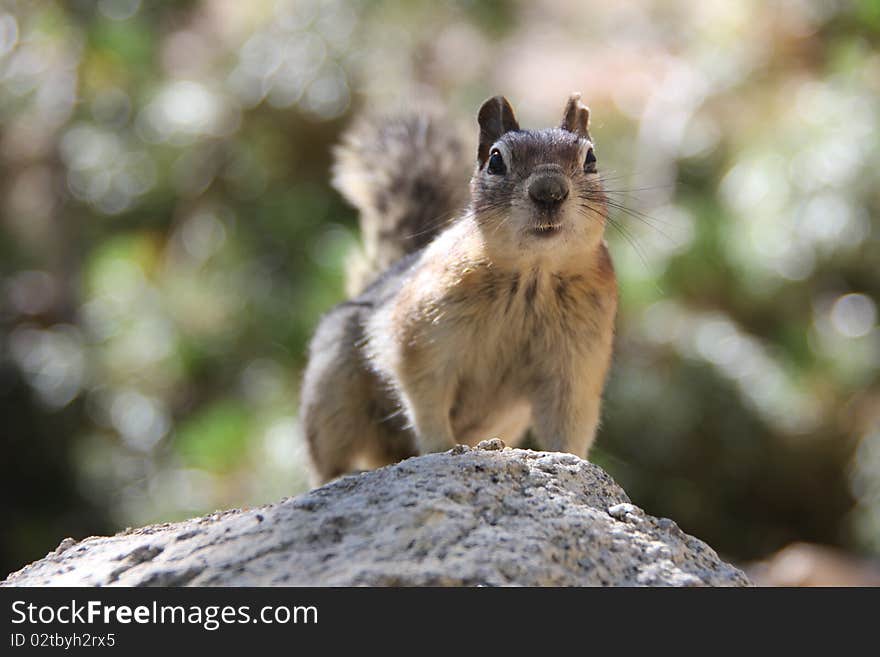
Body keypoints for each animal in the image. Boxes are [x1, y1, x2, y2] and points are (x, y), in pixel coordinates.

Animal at [302, 93, 620, 482]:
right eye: (496, 160)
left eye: (590, 158)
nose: (549, 192)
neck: (533, 275)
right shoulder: (421, 336)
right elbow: (425, 393)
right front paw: (441, 447)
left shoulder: (576, 363)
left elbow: (569, 418)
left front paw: (572, 461)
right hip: (333, 393)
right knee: (330, 462)